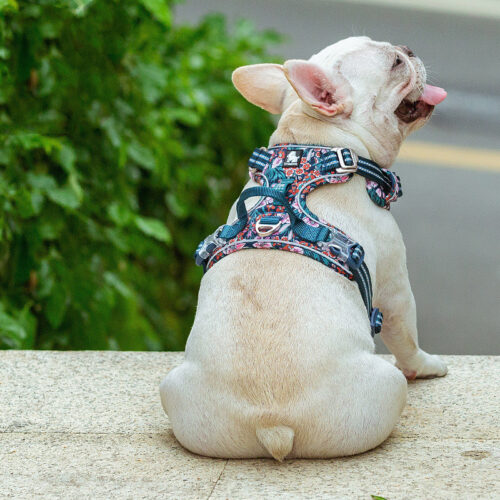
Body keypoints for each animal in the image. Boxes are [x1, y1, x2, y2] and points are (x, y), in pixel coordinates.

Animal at [161, 36, 450, 460]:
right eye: (396, 64)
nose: (408, 49)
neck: (315, 147)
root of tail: (272, 426)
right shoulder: (396, 283)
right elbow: (406, 335)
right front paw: (428, 365)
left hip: (175, 390)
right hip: (384, 385)